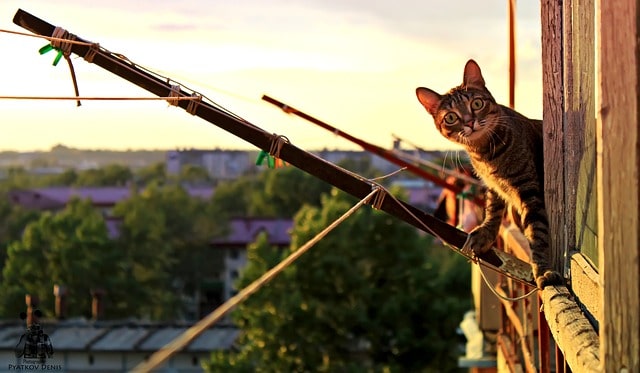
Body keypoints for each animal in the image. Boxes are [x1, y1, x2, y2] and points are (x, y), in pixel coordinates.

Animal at [416, 60, 560, 288]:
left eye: (476, 104)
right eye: (451, 117)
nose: (469, 122)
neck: (485, 154)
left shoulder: (529, 189)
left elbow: (537, 232)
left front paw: (543, 269)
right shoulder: (493, 186)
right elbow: (493, 210)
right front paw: (485, 233)